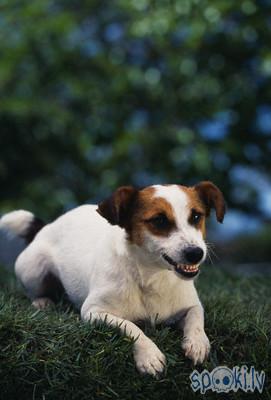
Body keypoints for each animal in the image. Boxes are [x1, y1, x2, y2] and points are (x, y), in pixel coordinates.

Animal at [0, 181, 225, 376]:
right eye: (159, 220)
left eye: (196, 216)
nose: (196, 253)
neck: (151, 276)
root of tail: (47, 226)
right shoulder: (94, 312)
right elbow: (131, 326)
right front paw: (149, 355)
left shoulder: (190, 304)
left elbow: (197, 317)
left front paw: (197, 343)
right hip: (34, 268)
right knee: (35, 290)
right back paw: (42, 301)